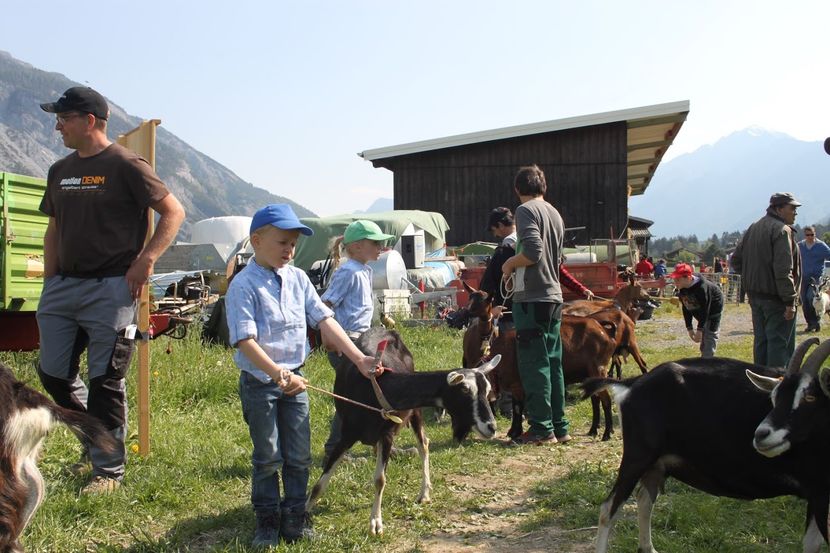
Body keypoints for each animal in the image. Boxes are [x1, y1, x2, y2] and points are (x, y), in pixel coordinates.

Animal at [308, 328, 498, 536]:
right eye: (465, 390)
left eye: (487, 389)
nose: (491, 427)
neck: (376, 389)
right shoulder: (347, 434)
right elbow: (321, 481)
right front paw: (305, 509)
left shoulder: (387, 434)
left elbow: (380, 479)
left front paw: (376, 522)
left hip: (415, 412)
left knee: (424, 444)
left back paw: (424, 492)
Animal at [584, 336, 830, 552]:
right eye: (774, 396)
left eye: (810, 396)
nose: (762, 435)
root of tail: (631, 384)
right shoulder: (820, 495)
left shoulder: (817, 493)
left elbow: (811, 544)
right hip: (638, 456)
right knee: (609, 509)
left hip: (657, 464)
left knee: (644, 499)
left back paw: (648, 548)